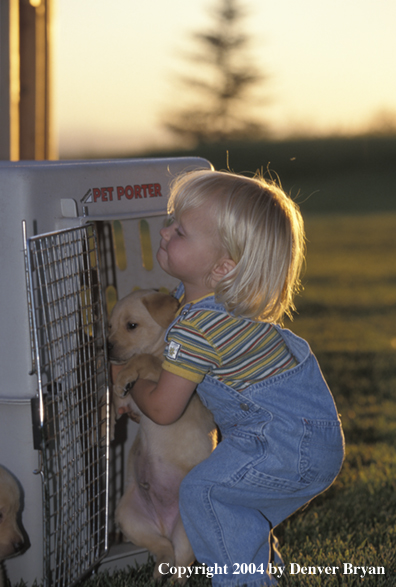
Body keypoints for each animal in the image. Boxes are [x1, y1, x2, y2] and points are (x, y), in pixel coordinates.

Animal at [108, 290, 217, 584]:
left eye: (131, 326)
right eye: (109, 326)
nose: (105, 348)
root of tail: (164, 524)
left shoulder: (165, 382)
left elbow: (142, 360)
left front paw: (123, 376)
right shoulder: (133, 404)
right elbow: (111, 400)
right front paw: (105, 424)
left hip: (186, 531)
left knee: (182, 563)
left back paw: (172, 581)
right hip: (128, 517)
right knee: (164, 550)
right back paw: (156, 575)